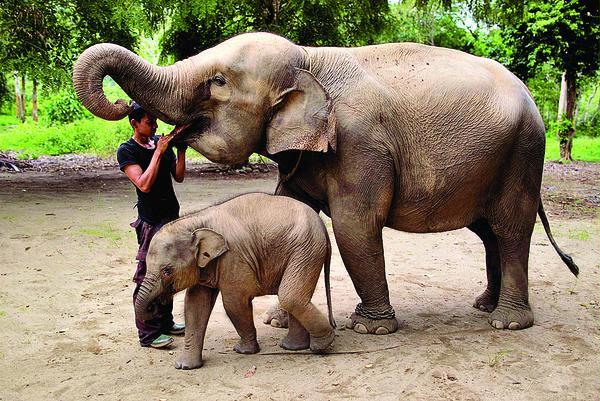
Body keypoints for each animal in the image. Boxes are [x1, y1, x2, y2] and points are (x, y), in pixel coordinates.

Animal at [72, 32, 580, 332]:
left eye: (217, 82)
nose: (133, 112)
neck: (310, 58)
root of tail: (532, 101)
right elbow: (288, 207)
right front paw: (278, 322)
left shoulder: (360, 145)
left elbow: (356, 227)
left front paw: (369, 328)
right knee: (488, 232)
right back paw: (484, 307)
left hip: (523, 153)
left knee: (510, 229)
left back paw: (508, 323)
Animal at [133, 193, 336, 368]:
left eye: (167, 271)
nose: (154, 306)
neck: (196, 221)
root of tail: (323, 227)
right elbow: (195, 305)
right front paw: (185, 367)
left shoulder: (234, 257)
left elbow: (234, 302)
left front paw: (242, 351)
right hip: (304, 250)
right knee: (295, 296)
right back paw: (293, 347)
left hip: (306, 249)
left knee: (290, 296)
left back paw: (321, 345)